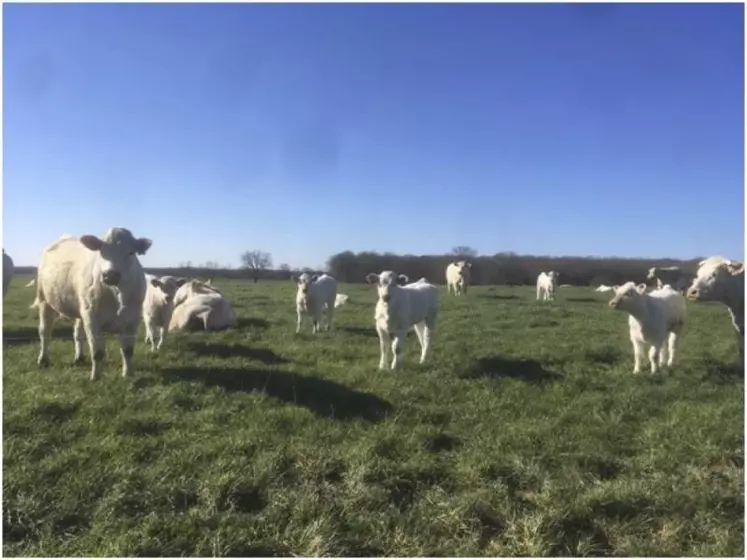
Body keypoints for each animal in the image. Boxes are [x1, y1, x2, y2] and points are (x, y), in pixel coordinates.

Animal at [32, 228, 153, 380]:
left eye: (131, 253)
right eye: (101, 251)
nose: (110, 275)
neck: (117, 294)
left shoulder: (133, 319)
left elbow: (128, 350)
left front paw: (128, 374)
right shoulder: (92, 318)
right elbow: (98, 352)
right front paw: (96, 377)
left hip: (80, 308)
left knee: (78, 333)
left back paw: (79, 357)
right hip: (45, 300)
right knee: (45, 332)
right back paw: (43, 360)